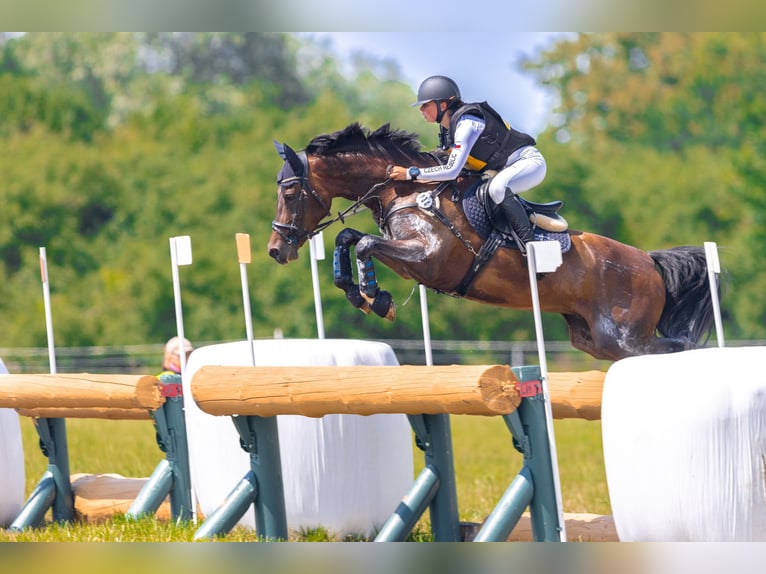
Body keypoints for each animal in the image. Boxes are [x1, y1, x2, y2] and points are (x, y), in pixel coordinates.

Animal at [268, 124, 716, 362]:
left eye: (289, 192)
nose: (276, 249)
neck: (407, 189)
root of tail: (648, 262)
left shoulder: (427, 259)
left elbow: (363, 245)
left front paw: (376, 298)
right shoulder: (408, 257)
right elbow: (349, 237)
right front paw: (358, 292)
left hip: (623, 337)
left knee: (676, 345)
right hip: (594, 339)